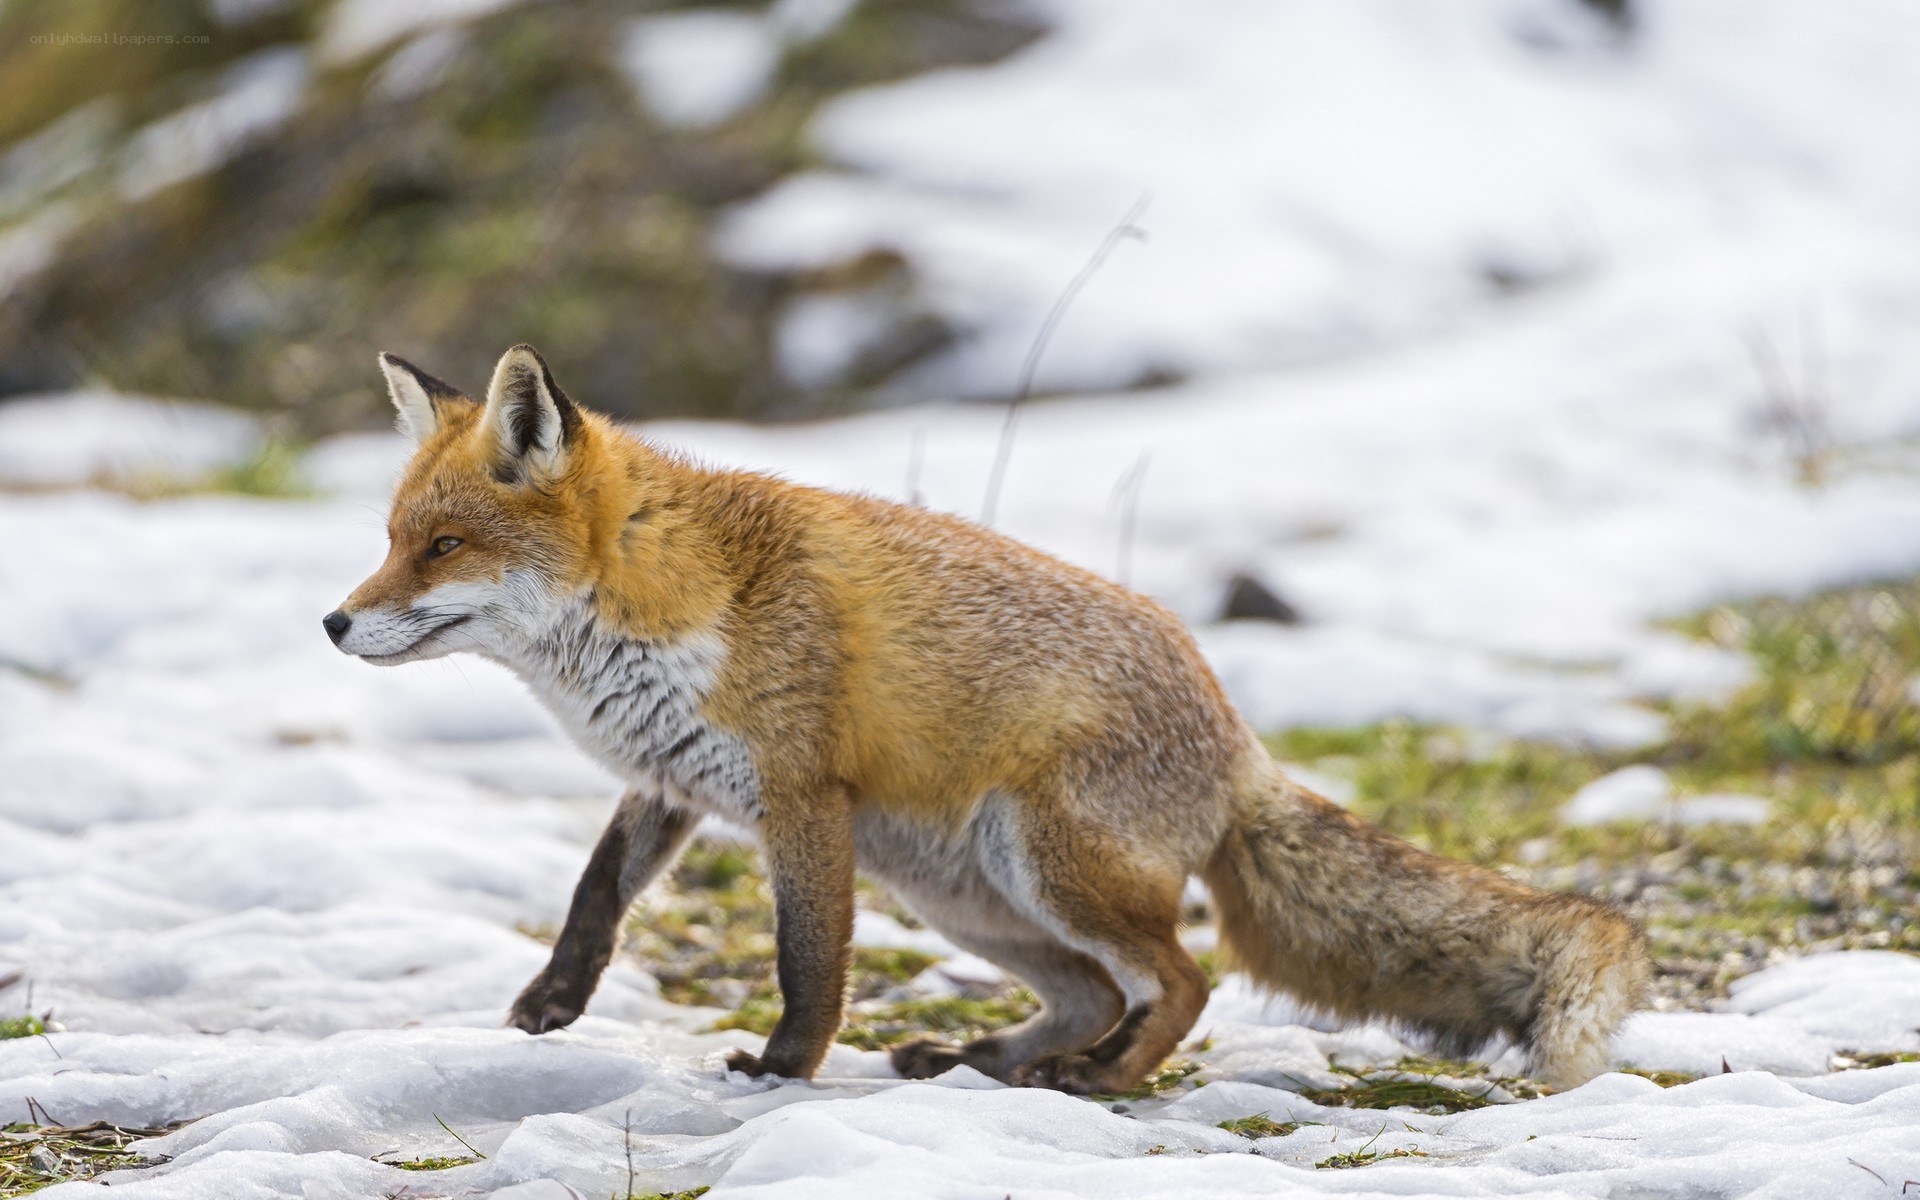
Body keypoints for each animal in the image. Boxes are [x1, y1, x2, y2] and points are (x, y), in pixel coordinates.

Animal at [325, 344, 1649, 1092]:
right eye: (389, 540)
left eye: (442, 548)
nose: (334, 624)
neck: (664, 597)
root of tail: (1235, 738)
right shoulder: (674, 779)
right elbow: (595, 896)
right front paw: (549, 1007)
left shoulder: (800, 800)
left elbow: (808, 965)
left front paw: (782, 1072)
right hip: (962, 894)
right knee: (1097, 993)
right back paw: (990, 1061)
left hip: (1042, 861)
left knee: (1181, 983)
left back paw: (1097, 1082)